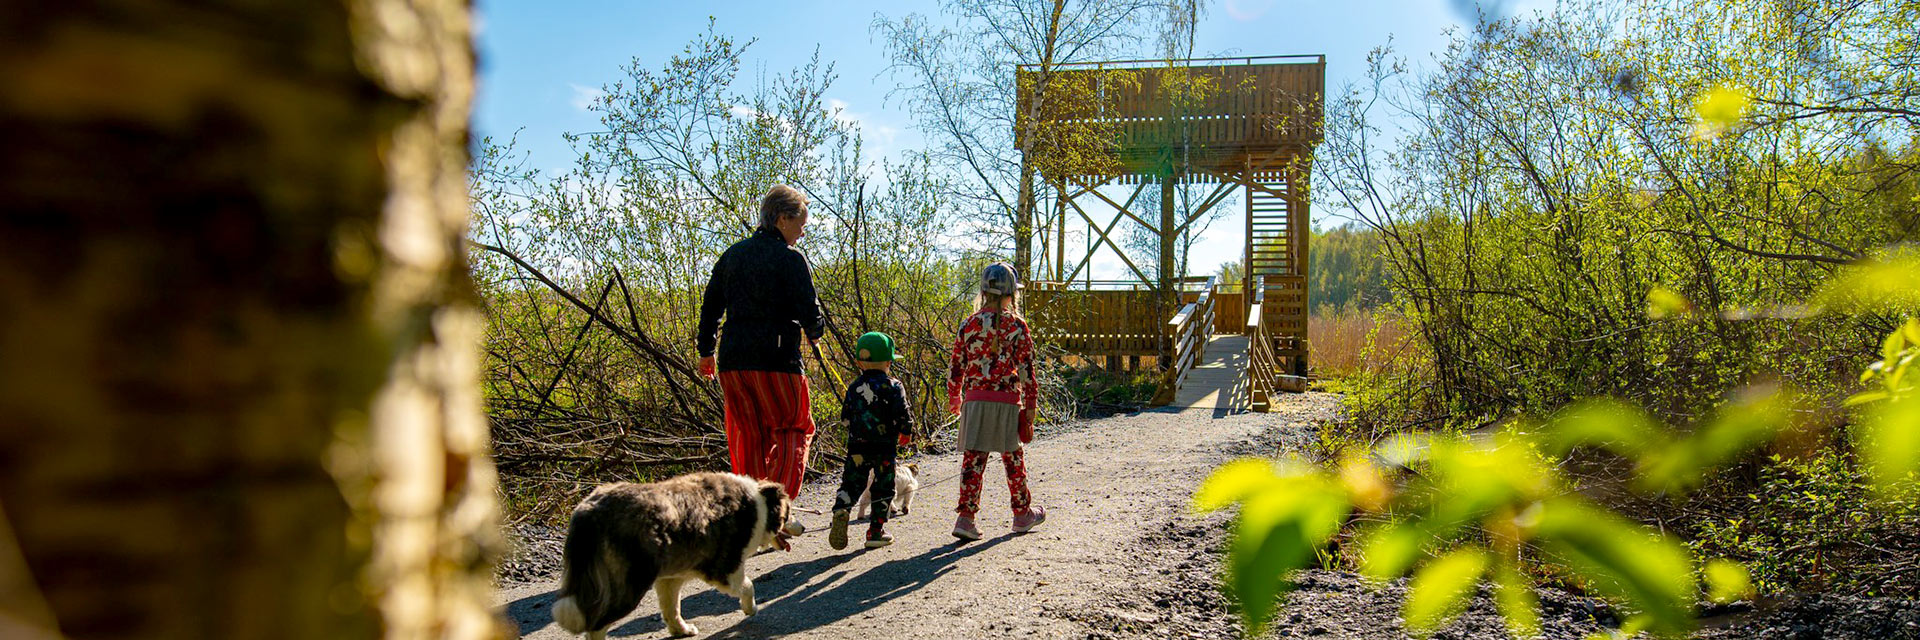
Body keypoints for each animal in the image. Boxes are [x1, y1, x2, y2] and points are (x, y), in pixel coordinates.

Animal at [552, 470, 791, 634]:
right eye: (789, 513)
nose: (800, 526)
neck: (758, 502)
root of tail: (589, 512)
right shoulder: (725, 568)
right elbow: (748, 586)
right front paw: (751, 609)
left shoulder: (671, 578)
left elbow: (671, 608)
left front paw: (681, 631)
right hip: (629, 584)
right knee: (596, 623)